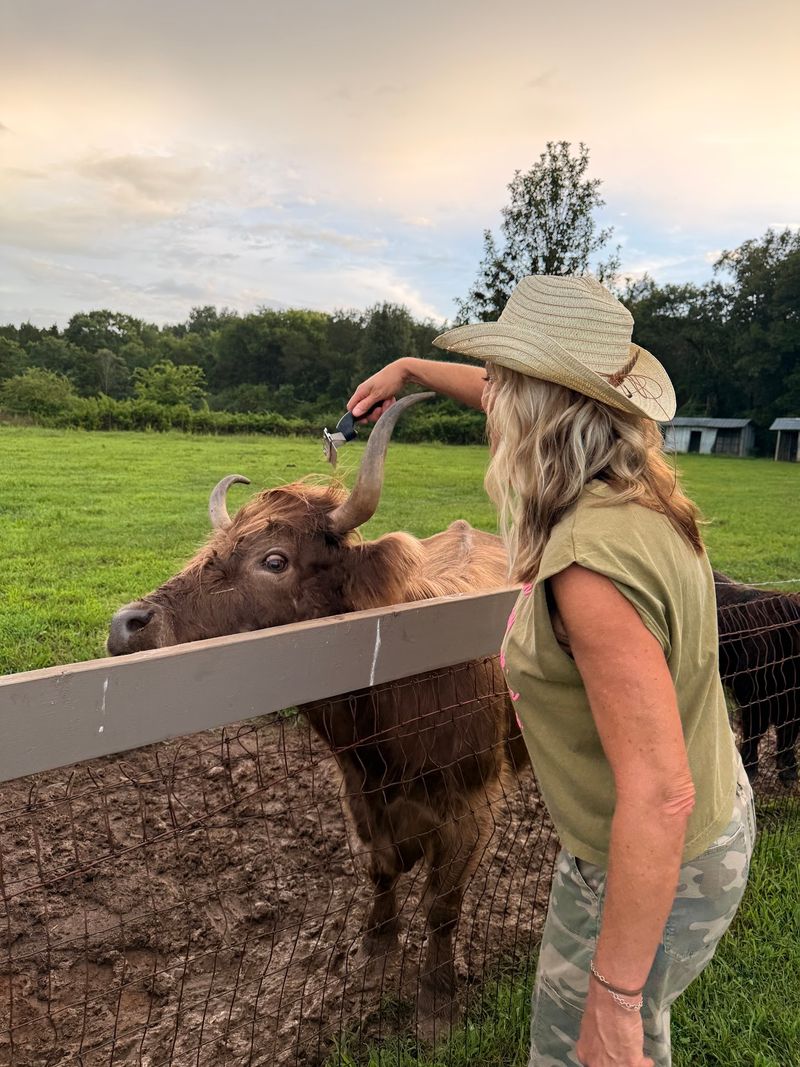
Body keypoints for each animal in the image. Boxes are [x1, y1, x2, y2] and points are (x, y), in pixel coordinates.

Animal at [107, 394, 527, 1026]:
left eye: (275, 560)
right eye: (210, 551)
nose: (126, 625)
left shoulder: (472, 809)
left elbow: (444, 907)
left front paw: (437, 998)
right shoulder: (359, 793)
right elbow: (381, 870)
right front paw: (376, 947)